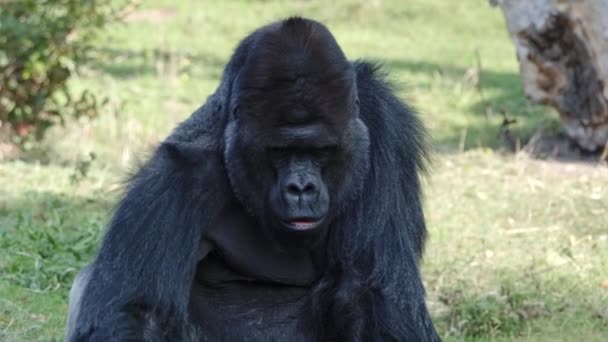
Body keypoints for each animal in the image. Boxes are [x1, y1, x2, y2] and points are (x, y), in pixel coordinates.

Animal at [66, 16, 440, 342]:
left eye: (321, 150)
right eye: (278, 151)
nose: (301, 188)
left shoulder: (381, 121)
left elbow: (371, 287)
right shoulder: (175, 174)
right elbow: (136, 313)